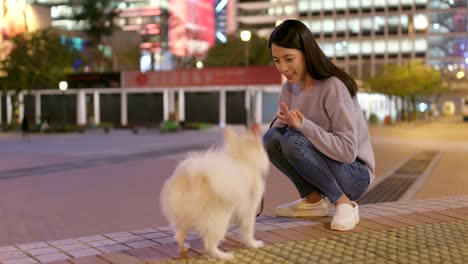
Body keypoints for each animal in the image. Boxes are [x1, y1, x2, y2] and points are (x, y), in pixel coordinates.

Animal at [160, 126, 268, 260]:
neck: (242, 159)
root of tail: (193, 177)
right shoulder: (249, 210)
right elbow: (248, 230)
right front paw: (253, 244)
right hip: (219, 219)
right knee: (209, 244)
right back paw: (223, 255)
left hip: (183, 219)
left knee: (178, 236)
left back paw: (184, 248)